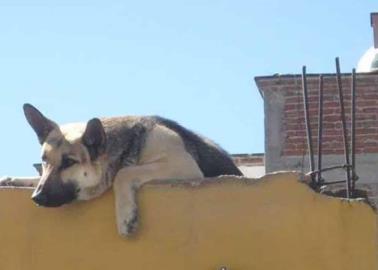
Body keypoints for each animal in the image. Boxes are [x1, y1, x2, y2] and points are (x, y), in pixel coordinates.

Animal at [0, 103, 242, 236]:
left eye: (69, 162)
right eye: (44, 160)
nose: (37, 198)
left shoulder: (181, 163)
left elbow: (124, 173)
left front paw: (126, 216)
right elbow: (36, 176)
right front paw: (11, 179)